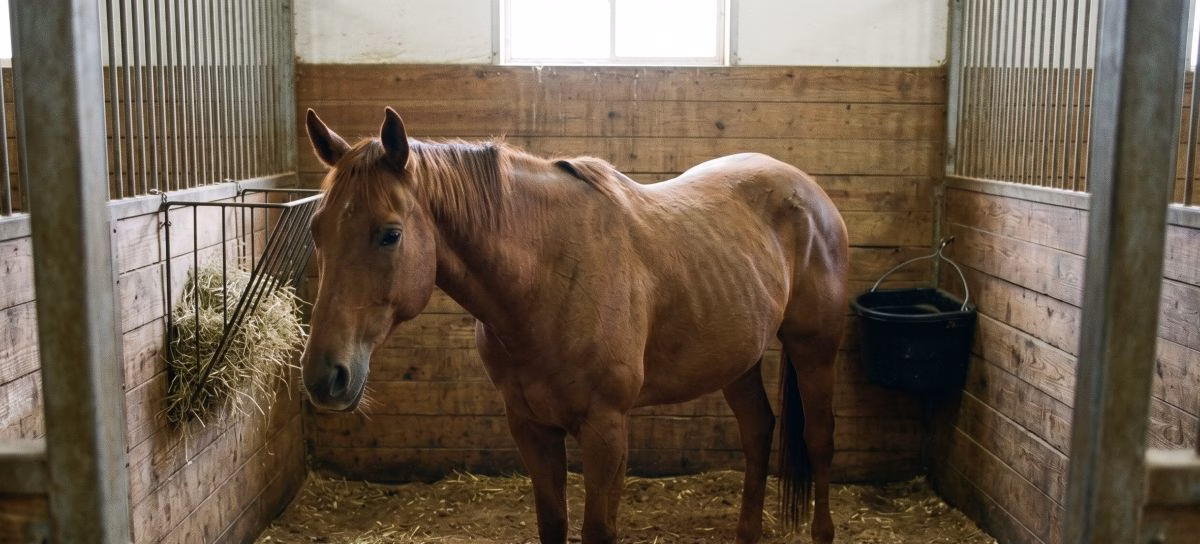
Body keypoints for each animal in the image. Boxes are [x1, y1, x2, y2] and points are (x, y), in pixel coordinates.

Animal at [299, 107, 849, 544]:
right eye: (316, 230)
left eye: (390, 234)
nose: (325, 376)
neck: (549, 276)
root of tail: (809, 190)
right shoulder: (530, 426)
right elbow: (553, 524)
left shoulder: (605, 428)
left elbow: (597, 531)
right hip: (737, 359)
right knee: (758, 431)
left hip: (815, 348)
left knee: (820, 437)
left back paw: (823, 532)